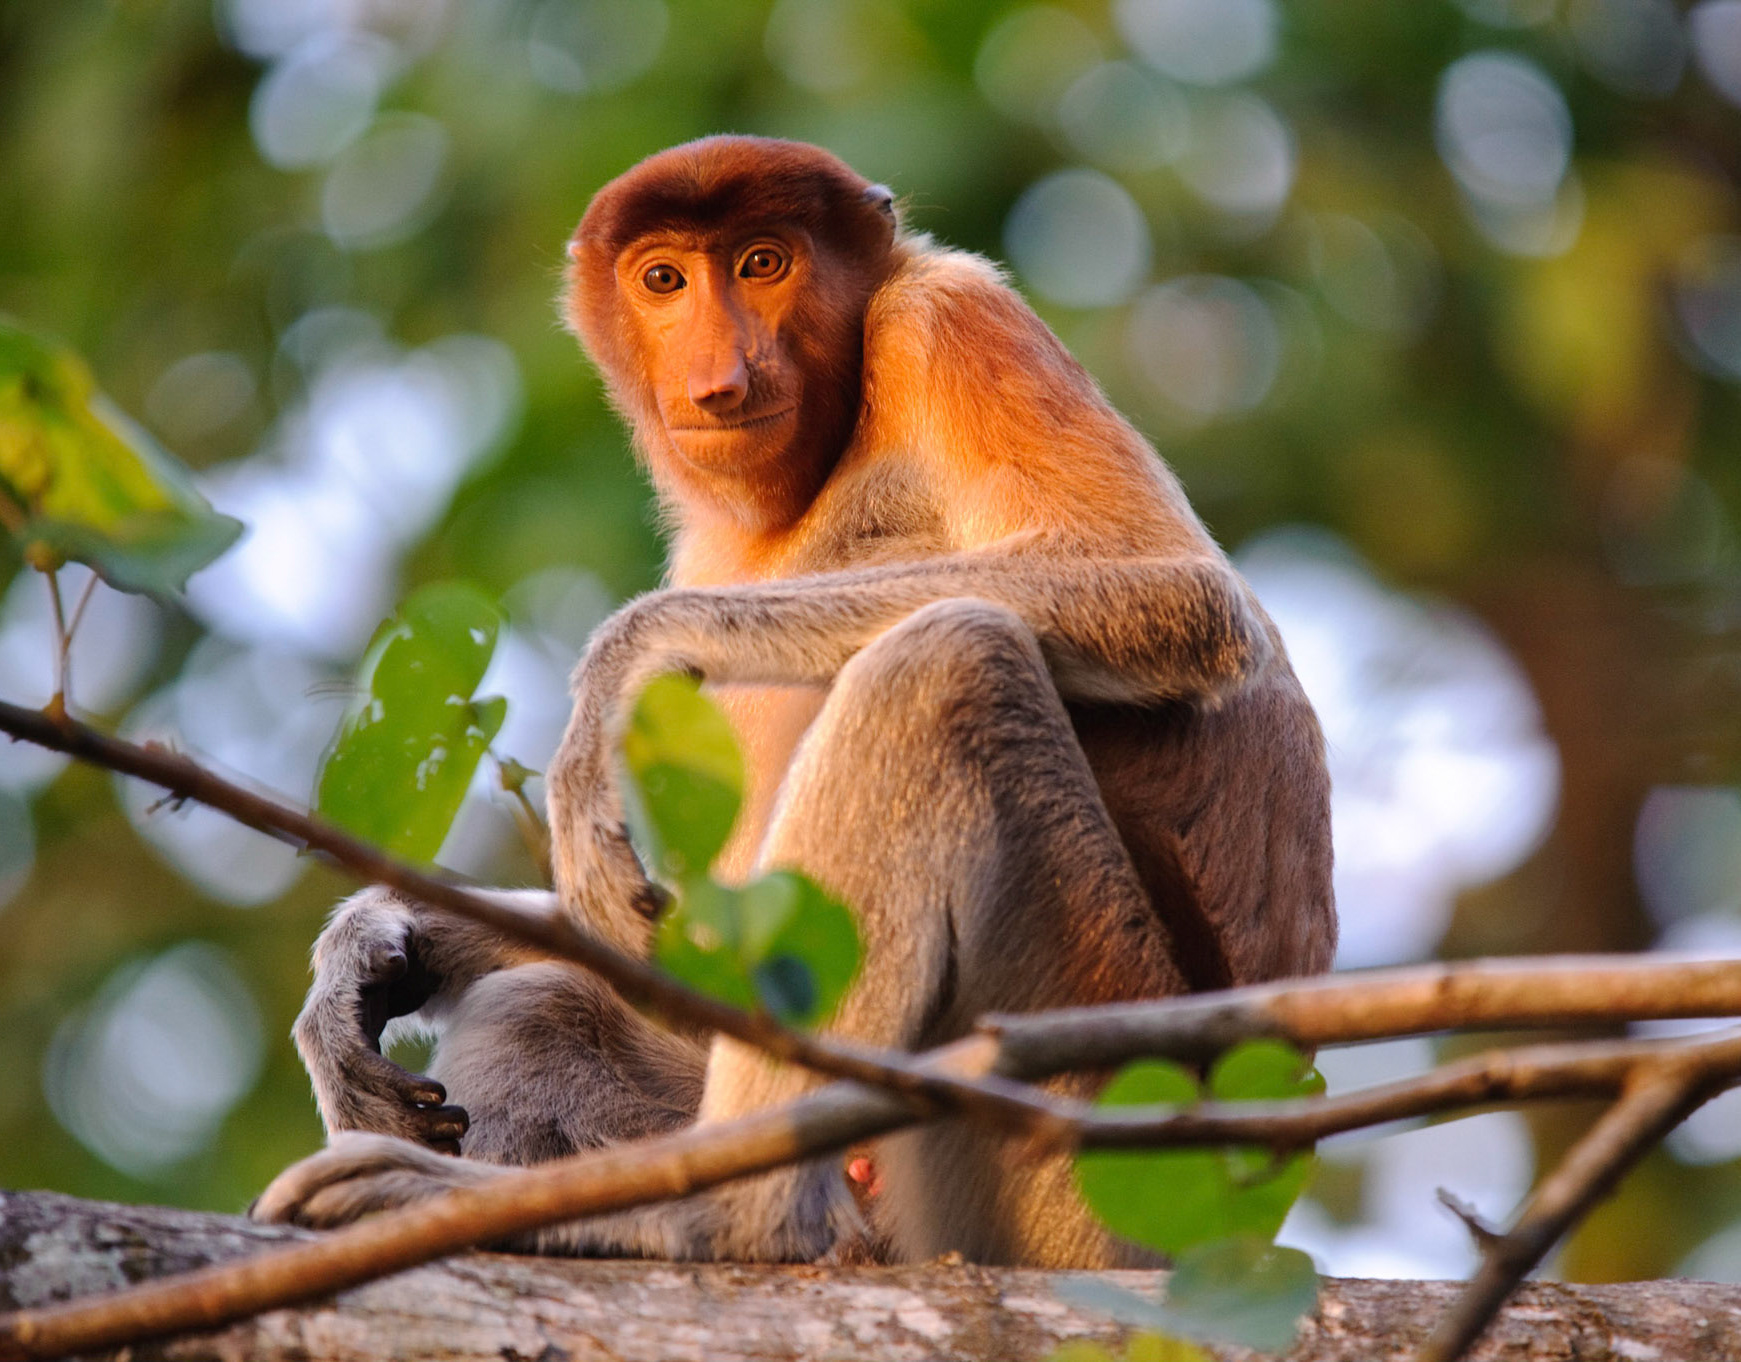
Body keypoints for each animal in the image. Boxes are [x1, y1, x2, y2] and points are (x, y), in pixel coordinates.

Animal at [252, 135, 1336, 1268]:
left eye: (763, 263)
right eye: (664, 279)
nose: (721, 378)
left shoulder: (950, 321)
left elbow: (1177, 590)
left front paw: (624, 667)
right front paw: (374, 955)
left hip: (1094, 1126)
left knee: (943, 663)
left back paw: (716, 1214)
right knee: (543, 1004)